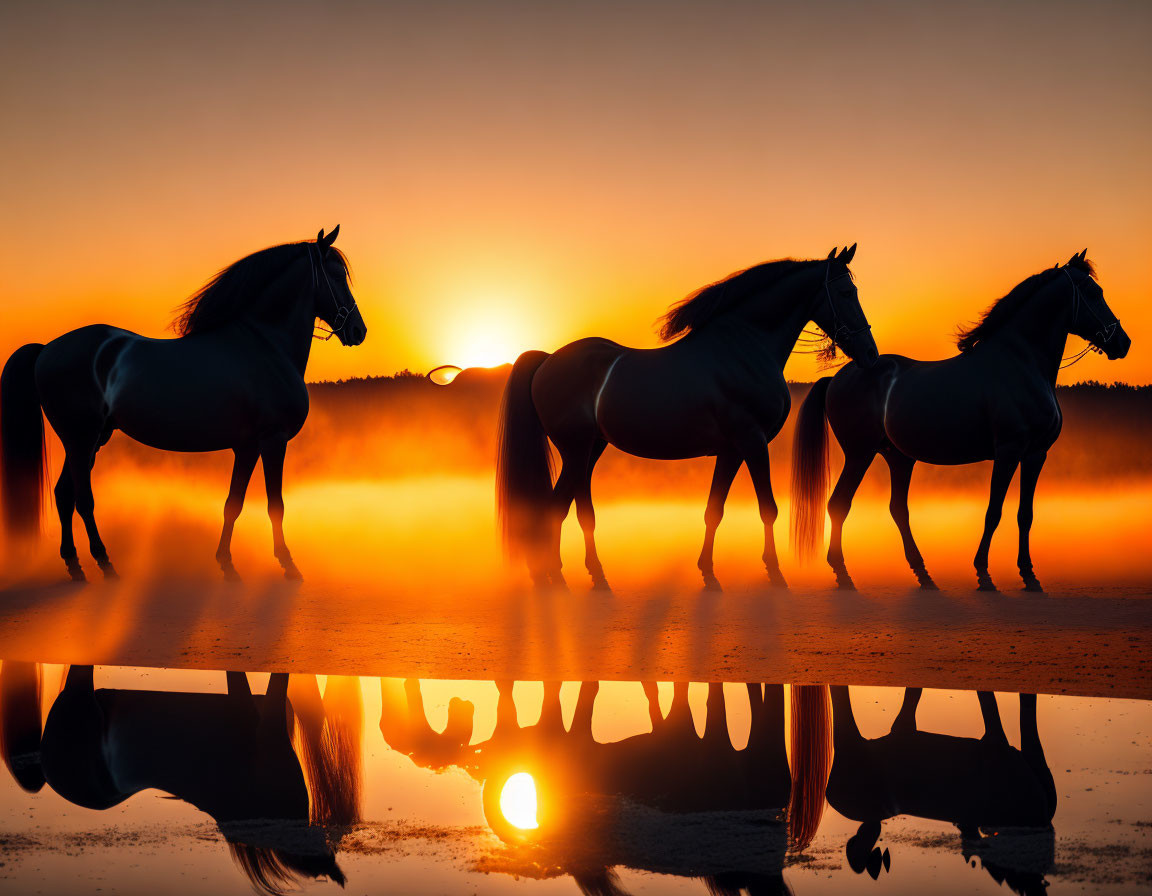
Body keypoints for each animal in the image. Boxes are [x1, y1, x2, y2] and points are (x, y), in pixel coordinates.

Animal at [0, 226, 366, 580]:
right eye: (336, 275)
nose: (358, 331)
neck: (264, 345)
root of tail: (47, 349)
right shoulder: (273, 442)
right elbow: (275, 504)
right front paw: (288, 564)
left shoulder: (248, 446)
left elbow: (233, 503)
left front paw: (226, 563)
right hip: (81, 439)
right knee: (83, 500)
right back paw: (105, 563)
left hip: (88, 441)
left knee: (64, 495)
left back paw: (74, 565)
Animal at [497, 247, 880, 589]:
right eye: (845, 292)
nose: (870, 354)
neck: (744, 348)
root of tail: (548, 360)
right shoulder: (753, 441)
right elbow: (767, 507)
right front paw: (774, 571)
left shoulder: (731, 450)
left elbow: (714, 509)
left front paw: (707, 569)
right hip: (576, 450)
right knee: (561, 508)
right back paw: (564, 574)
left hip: (591, 449)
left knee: (570, 509)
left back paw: (578, 571)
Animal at [787, 251, 1128, 589]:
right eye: (1093, 293)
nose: (1123, 343)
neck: (1021, 364)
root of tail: (837, 378)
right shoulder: (1008, 452)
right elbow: (994, 511)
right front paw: (982, 571)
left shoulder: (1035, 454)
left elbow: (1025, 514)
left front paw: (1028, 573)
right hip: (860, 454)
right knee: (839, 504)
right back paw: (843, 572)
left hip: (898, 457)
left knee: (897, 509)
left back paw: (923, 574)